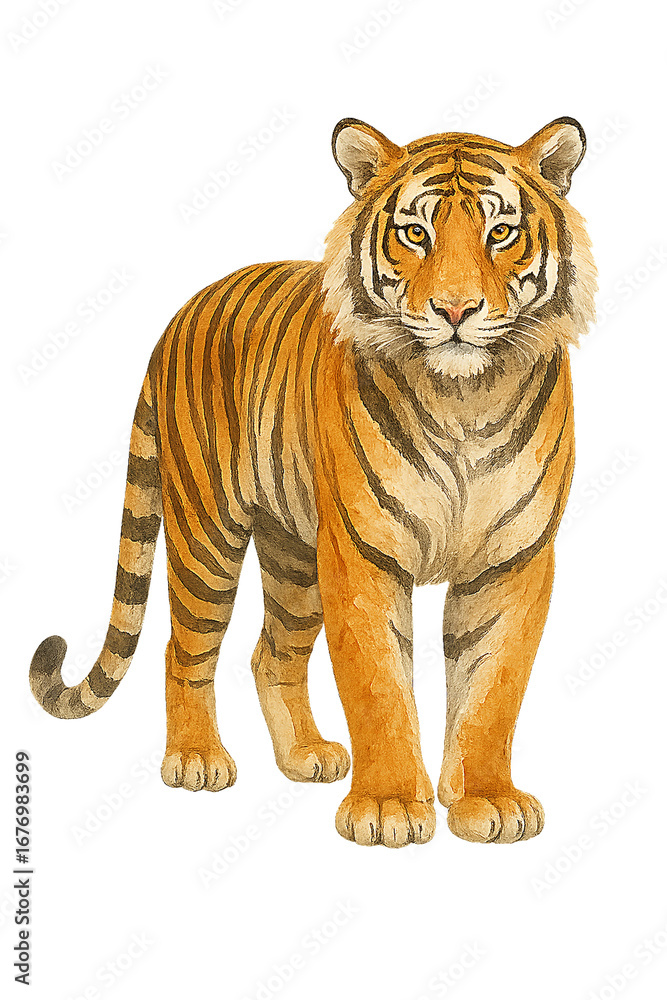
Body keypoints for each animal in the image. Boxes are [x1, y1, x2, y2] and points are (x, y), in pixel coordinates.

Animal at [30, 116, 597, 848]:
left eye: (501, 232)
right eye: (415, 233)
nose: (455, 311)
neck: (464, 399)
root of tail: (180, 313)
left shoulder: (514, 558)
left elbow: (492, 691)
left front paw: (486, 803)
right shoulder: (362, 554)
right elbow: (378, 686)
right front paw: (388, 808)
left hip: (293, 556)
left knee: (271, 654)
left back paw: (304, 755)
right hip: (207, 535)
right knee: (183, 647)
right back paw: (196, 759)